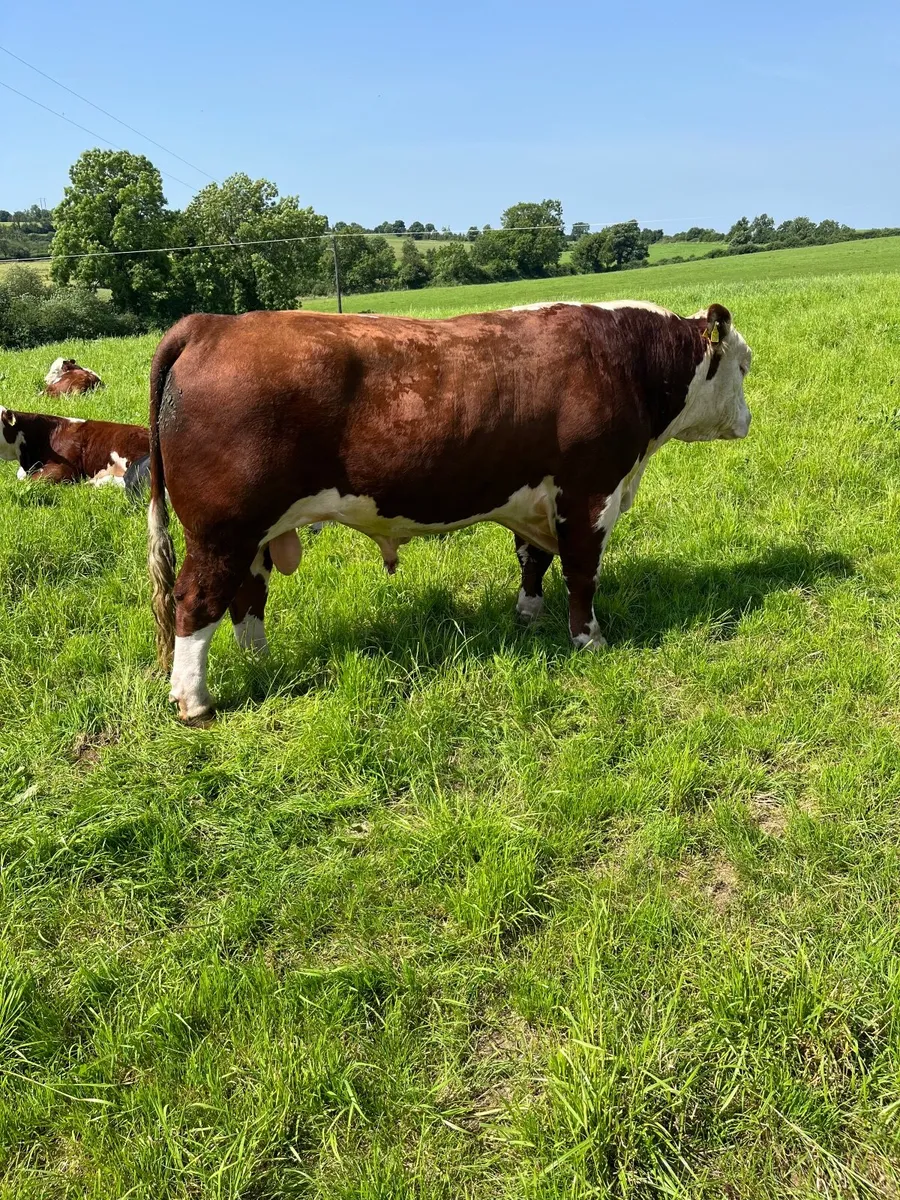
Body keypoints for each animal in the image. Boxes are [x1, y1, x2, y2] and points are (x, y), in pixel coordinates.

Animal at [146, 301, 752, 721]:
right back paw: (195, 701)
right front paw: (589, 639)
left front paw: (529, 614)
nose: (748, 420)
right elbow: (582, 572)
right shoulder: (589, 493)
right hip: (222, 531)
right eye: (744, 367)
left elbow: (533, 560)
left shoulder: (534, 498)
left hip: (253, 535)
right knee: (196, 601)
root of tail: (211, 325)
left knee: (247, 598)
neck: (624, 360)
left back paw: (261, 663)